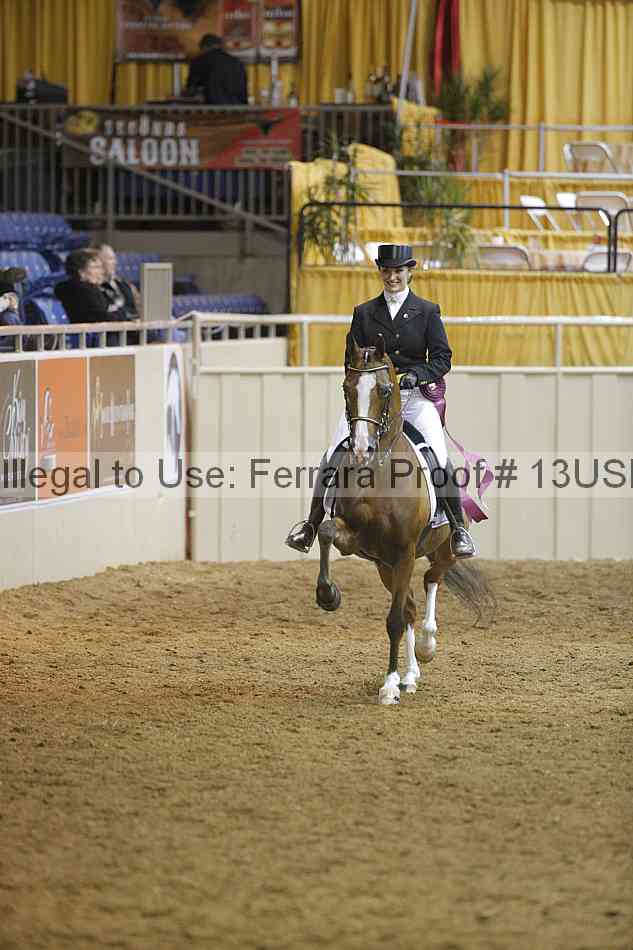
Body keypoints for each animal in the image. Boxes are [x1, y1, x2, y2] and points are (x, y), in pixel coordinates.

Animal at [315, 335, 494, 705]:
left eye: (385, 390)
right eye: (346, 388)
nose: (362, 448)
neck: (378, 473)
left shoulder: (406, 551)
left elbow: (395, 620)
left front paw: (388, 687)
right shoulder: (361, 543)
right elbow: (325, 530)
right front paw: (328, 595)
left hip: (441, 551)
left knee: (431, 580)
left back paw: (426, 647)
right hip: (385, 565)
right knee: (411, 603)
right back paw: (410, 675)